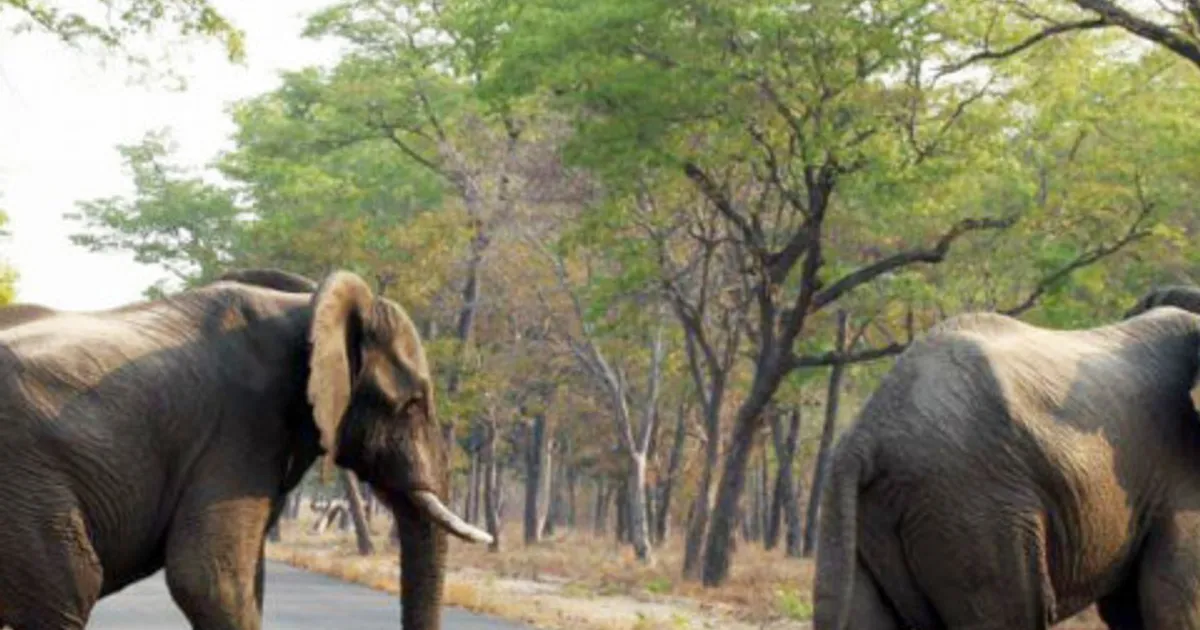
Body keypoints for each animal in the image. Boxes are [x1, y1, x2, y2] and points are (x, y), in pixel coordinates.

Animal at [0, 267, 491, 630]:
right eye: (411, 404)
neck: (309, 305)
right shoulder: (240, 425)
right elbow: (207, 579)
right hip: (28, 482)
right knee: (70, 588)